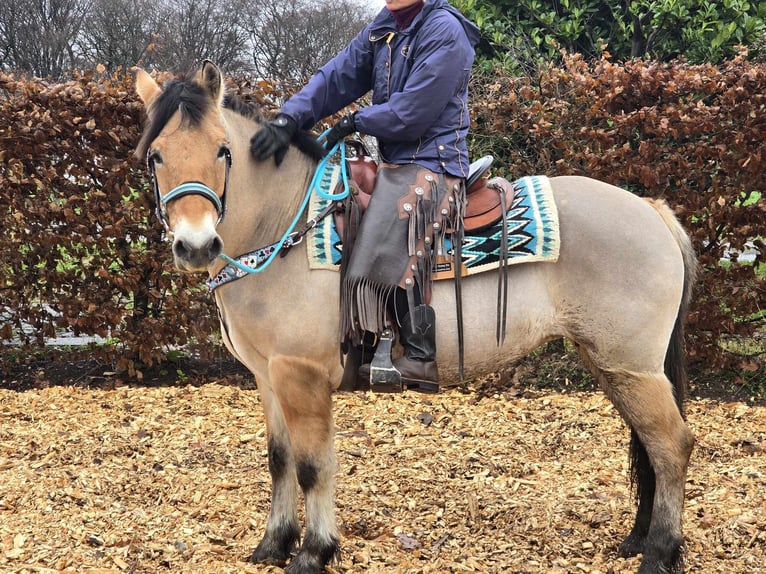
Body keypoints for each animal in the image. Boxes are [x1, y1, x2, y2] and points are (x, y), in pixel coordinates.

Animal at [135, 60, 700, 572]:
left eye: (222, 150)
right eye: (157, 155)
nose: (196, 245)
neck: (288, 221)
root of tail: (652, 210)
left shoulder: (302, 375)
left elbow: (314, 466)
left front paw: (314, 552)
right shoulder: (267, 376)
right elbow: (280, 462)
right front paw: (274, 544)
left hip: (633, 368)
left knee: (671, 447)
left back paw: (659, 553)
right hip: (613, 366)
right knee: (649, 447)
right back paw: (638, 539)